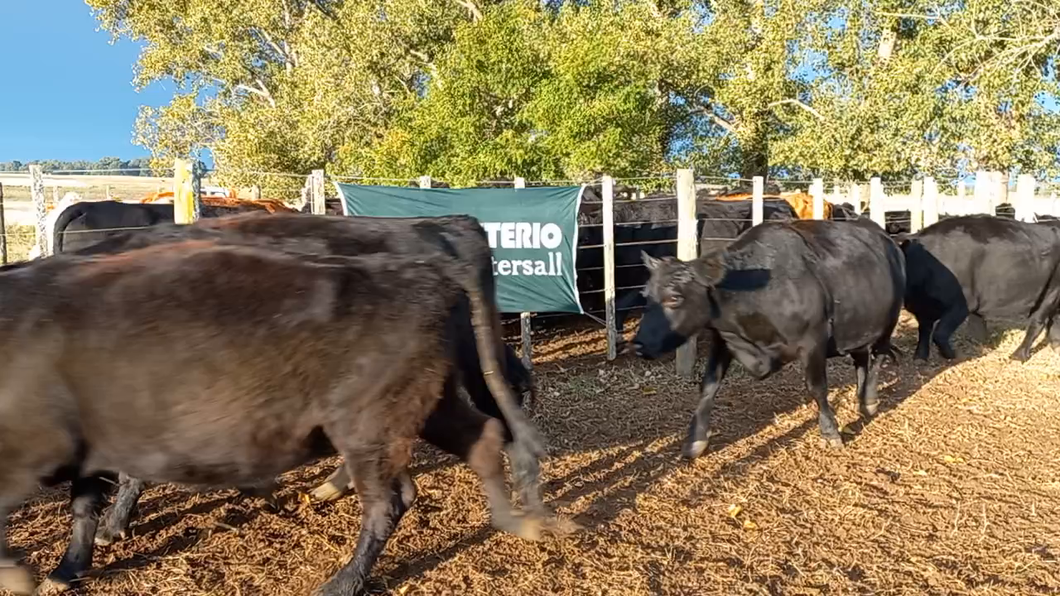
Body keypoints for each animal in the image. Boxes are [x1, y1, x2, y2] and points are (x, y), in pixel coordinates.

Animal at [0, 235, 563, 593]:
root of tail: (430, 272)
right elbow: (84, 504)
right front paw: (67, 569)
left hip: (368, 426)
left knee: (389, 500)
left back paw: (341, 583)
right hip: (426, 408)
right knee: (481, 439)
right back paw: (519, 522)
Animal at [627, 218, 903, 453]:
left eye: (674, 298)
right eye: (645, 294)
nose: (638, 344)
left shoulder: (813, 341)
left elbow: (816, 387)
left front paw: (830, 432)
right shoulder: (723, 339)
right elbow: (708, 386)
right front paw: (695, 440)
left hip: (889, 320)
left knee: (878, 356)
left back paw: (870, 400)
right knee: (861, 358)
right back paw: (861, 397)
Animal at [898, 214, 1060, 360]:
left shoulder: (962, 305)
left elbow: (940, 333)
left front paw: (953, 356)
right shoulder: (922, 309)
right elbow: (924, 330)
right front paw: (920, 357)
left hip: (1051, 291)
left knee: (1038, 322)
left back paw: (1018, 355)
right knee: (1055, 318)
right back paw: (1055, 345)